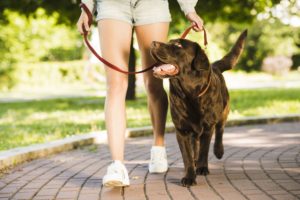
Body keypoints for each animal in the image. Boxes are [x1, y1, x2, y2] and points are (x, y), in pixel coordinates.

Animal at [149, 30, 246, 187]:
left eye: (178, 45)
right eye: (169, 41)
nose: (152, 43)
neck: (189, 94)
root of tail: (214, 66)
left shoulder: (208, 127)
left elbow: (204, 150)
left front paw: (202, 168)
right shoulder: (181, 130)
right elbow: (187, 156)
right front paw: (189, 176)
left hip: (223, 111)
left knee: (220, 130)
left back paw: (218, 151)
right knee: (195, 142)